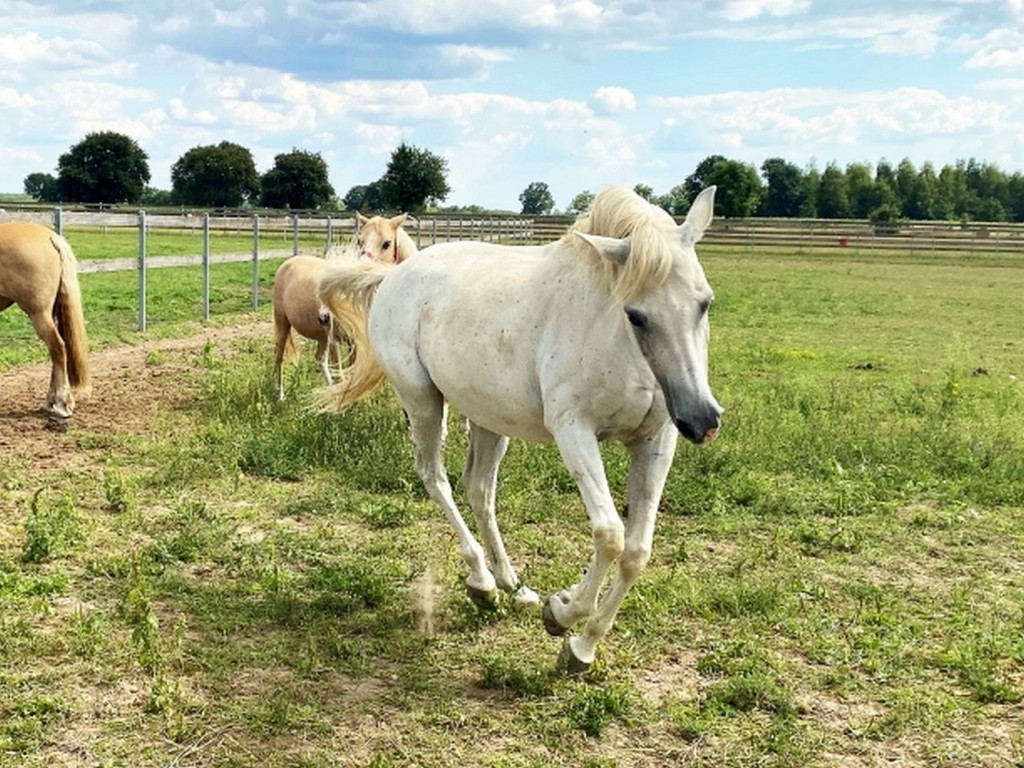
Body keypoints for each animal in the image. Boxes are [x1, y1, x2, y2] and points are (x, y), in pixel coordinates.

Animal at [274, 214, 417, 399]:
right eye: (360, 241)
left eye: (387, 243)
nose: (324, 316)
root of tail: (290, 262)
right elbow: (345, 376)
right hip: (284, 323)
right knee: (279, 357)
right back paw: (281, 396)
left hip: (323, 337)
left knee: (320, 359)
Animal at [317, 186, 720, 671]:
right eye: (637, 315)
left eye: (705, 302)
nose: (702, 420)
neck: (612, 336)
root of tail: (392, 277)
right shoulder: (574, 431)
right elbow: (610, 536)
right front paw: (562, 614)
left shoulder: (655, 439)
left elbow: (637, 552)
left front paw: (582, 648)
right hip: (423, 403)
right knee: (436, 478)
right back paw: (483, 581)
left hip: (490, 419)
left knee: (479, 488)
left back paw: (510, 585)